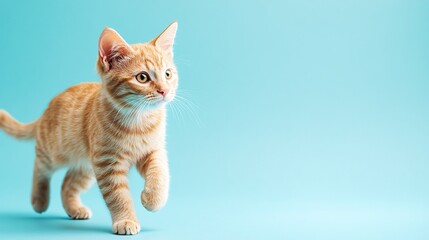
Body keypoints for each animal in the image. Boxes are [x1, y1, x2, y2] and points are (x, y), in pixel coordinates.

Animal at [0, 21, 178, 234]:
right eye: (142, 77)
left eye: (168, 74)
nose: (165, 91)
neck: (139, 120)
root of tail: (48, 108)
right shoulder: (108, 163)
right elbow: (118, 196)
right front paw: (125, 220)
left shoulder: (152, 150)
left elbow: (160, 172)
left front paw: (153, 199)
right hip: (55, 152)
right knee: (40, 167)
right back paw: (39, 200)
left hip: (86, 166)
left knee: (67, 184)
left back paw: (75, 209)